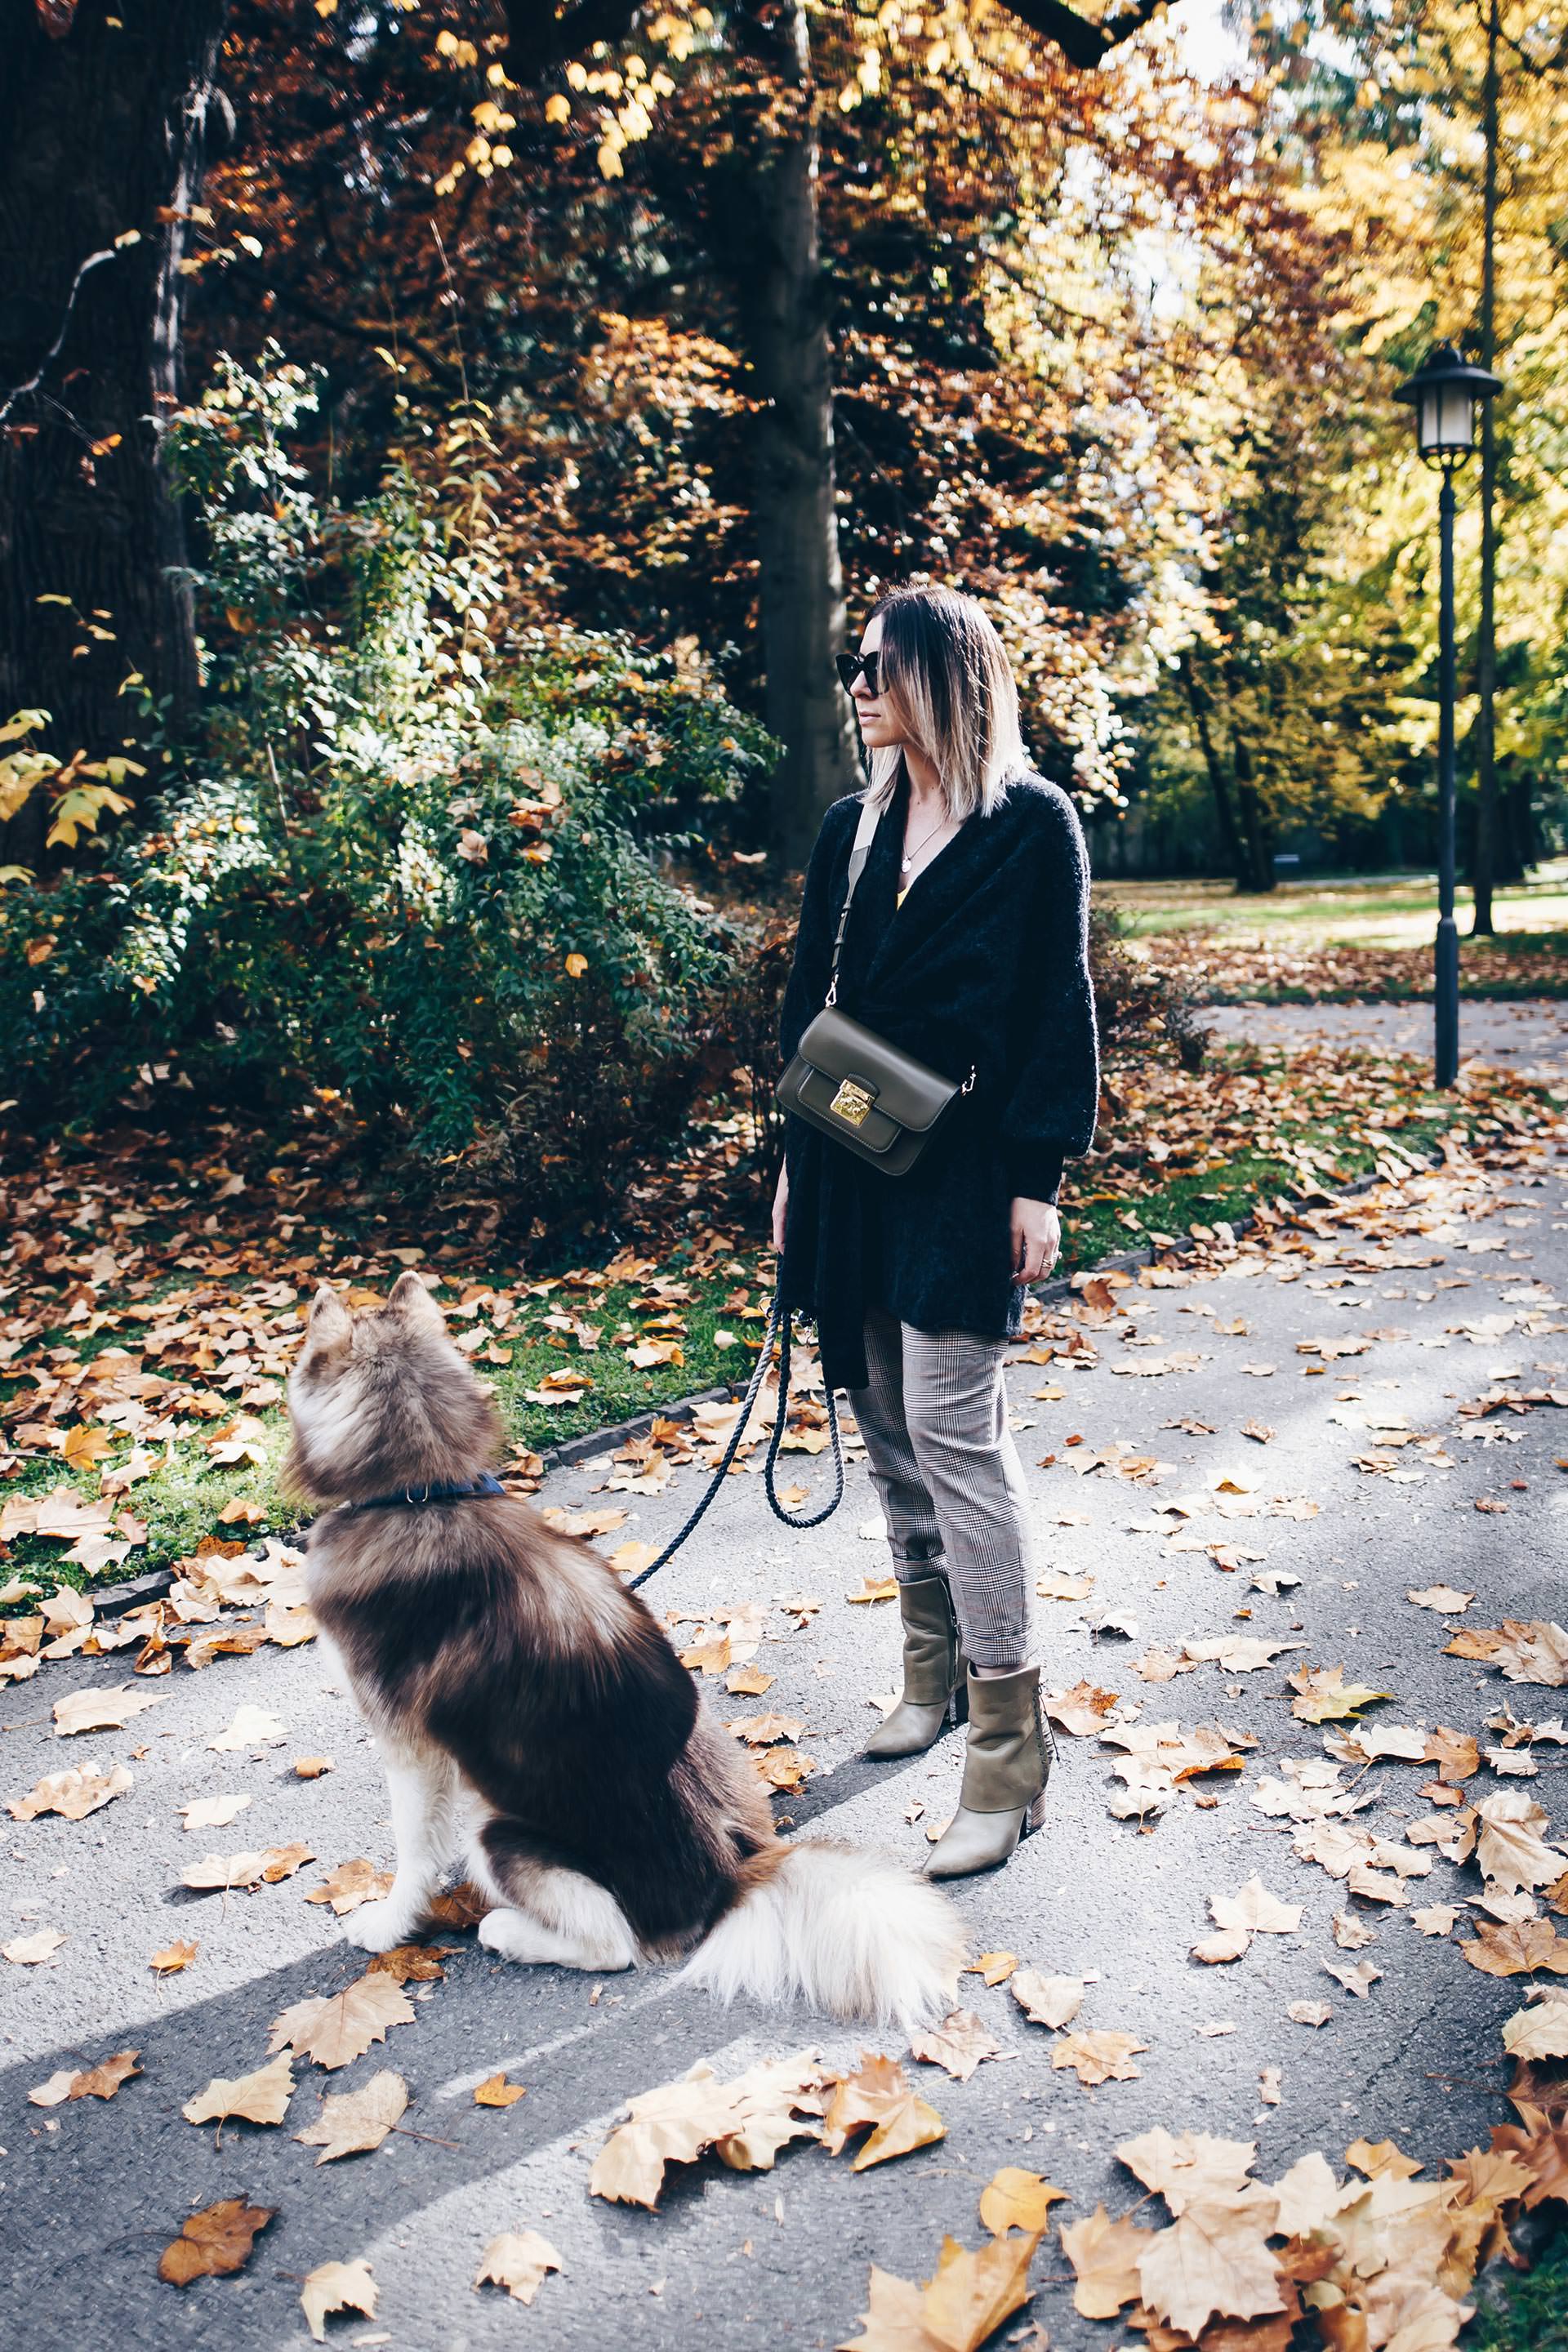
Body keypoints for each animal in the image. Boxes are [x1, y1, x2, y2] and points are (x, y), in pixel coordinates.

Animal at [287, 1279, 964, 2032]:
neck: (424, 1495)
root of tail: (736, 1877)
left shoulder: (410, 1746)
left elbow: (411, 1851)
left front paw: (386, 1924)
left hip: (500, 1830)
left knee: (612, 1946)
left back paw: (508, 1931)